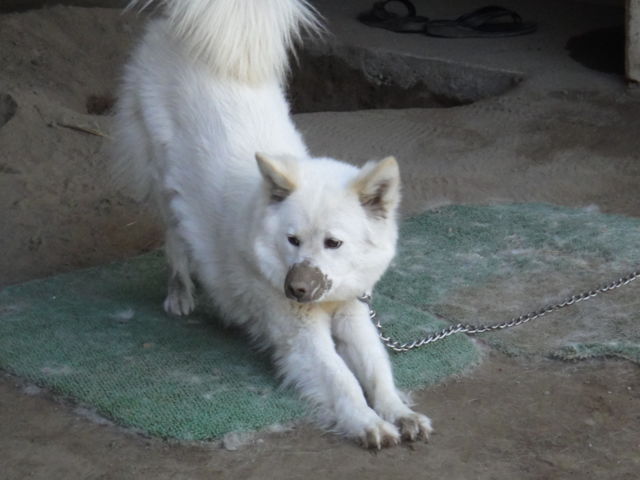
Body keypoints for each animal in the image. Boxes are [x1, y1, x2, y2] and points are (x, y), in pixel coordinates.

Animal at [113, 0, 432, 448]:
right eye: (292, 239)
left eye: (334, 243)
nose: (295, 289)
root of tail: (173, 30)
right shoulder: (303, 336)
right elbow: (344, 380)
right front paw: (366, 422)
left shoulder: (352, 312)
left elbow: (376, 370)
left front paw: (399, 412)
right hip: (165, 183)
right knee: (175, 241)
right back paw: (180, 293)